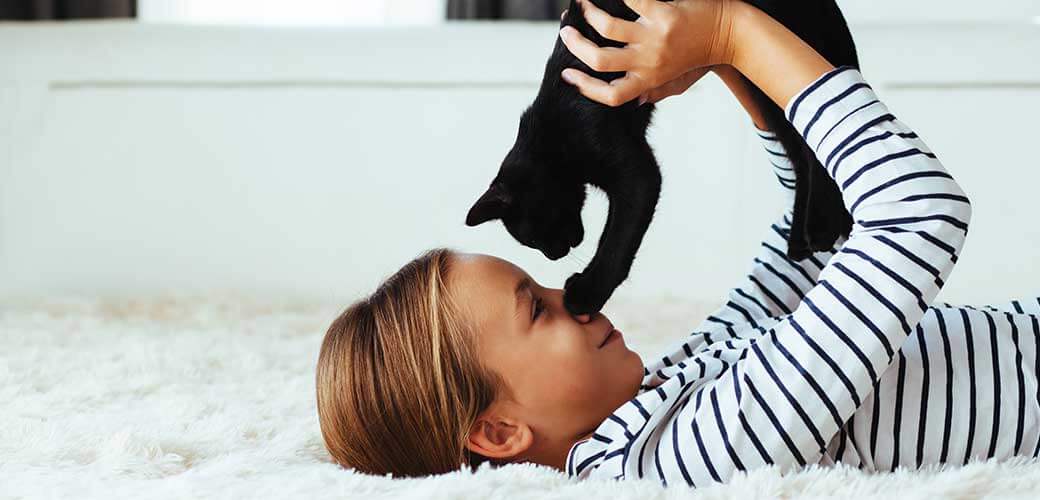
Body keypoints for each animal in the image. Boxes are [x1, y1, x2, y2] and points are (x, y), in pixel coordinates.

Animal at [467, 0, 856, 311]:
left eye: (534, 237)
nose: (556, 253)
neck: (550, 133)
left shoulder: (635, 172)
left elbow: (616, 240)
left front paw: (587, 295)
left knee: (815, 132)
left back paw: (822, 226)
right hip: (761, 83)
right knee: (800, 144)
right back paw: (802, 238)